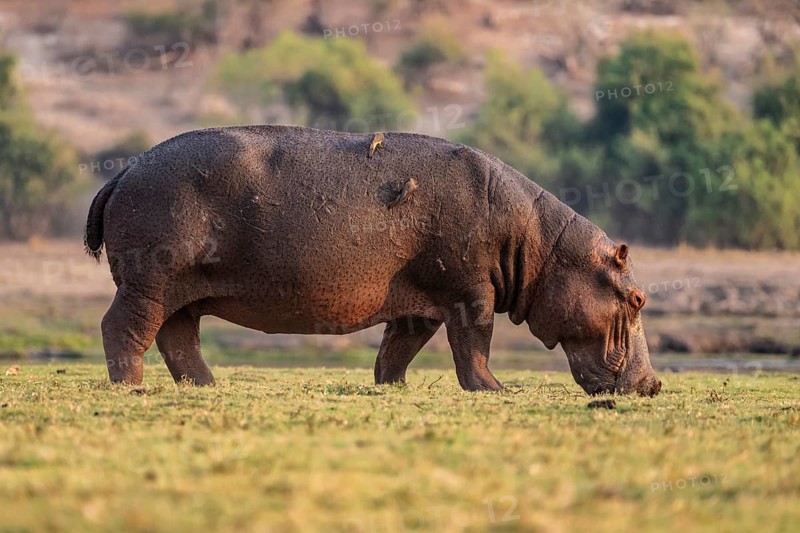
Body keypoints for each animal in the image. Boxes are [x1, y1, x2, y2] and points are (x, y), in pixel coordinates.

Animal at [84, 125, 661, 396]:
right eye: (637, 297)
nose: (654, 384)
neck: (545, 248)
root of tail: (124, 170)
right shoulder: (470, 293)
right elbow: (474, 343)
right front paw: (497, 390)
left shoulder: (420, 304)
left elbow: (398, 349)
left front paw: (393, 387)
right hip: (149, 281)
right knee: (123, 328)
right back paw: (131, 386)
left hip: (180, 290)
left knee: (178, 338)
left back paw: (207, 386)